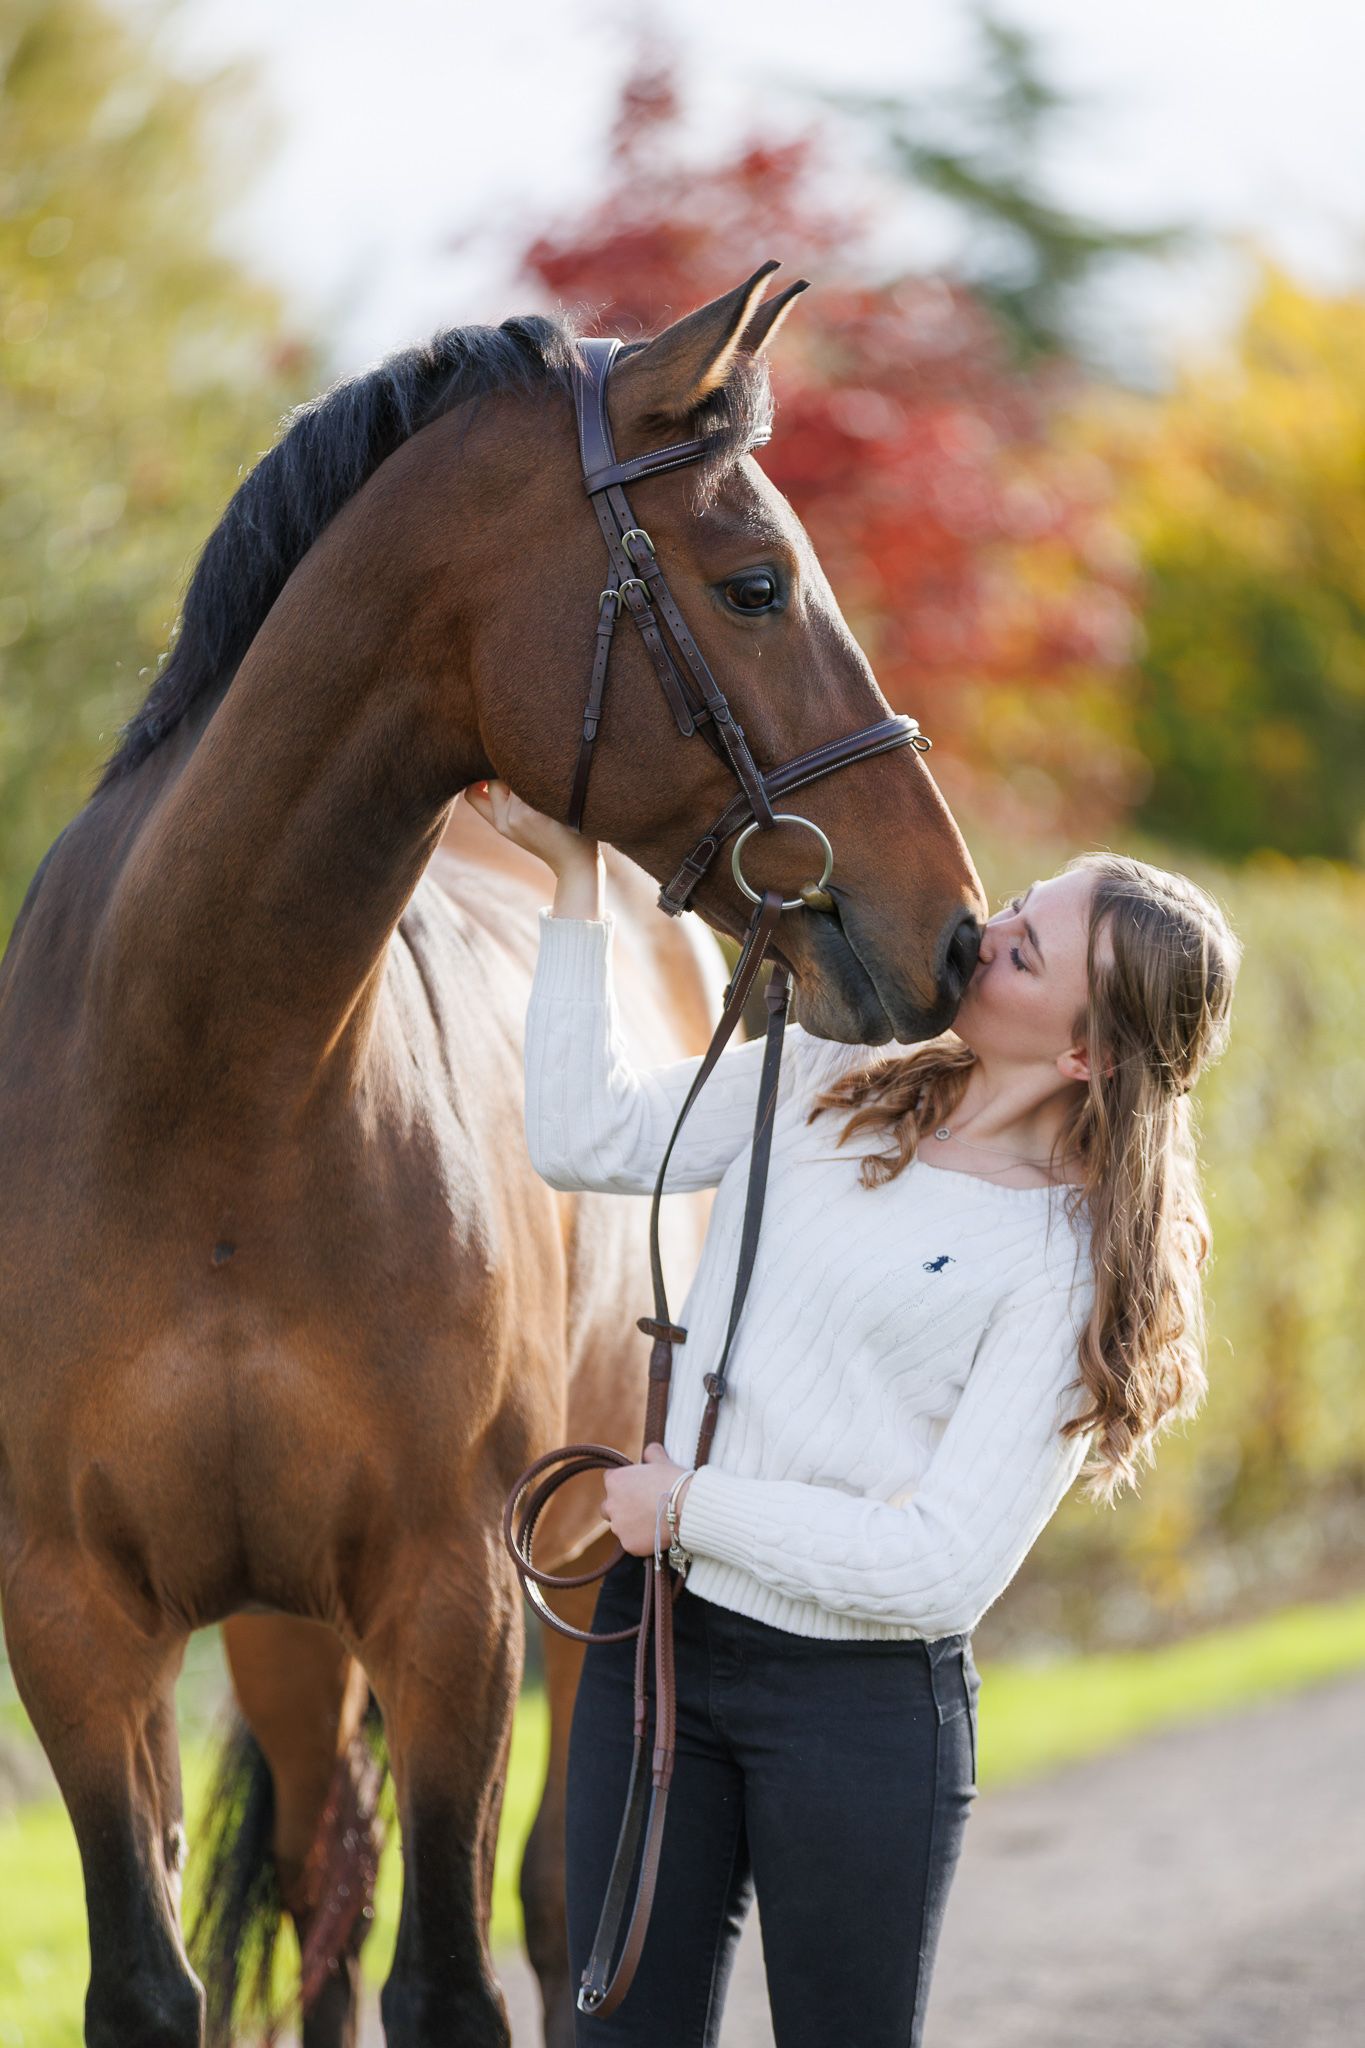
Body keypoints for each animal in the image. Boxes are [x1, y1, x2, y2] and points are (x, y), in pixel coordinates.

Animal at [0, 261, 988, 2048]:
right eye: (753, 585)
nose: (949, 931)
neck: (206, 1099)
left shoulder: (454, 1599)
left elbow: (452, 1981)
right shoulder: (73, 1619)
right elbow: (156, 1981)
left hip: (593, 1570)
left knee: (552, 1896)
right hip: (283, 1635)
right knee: (325, 1897)